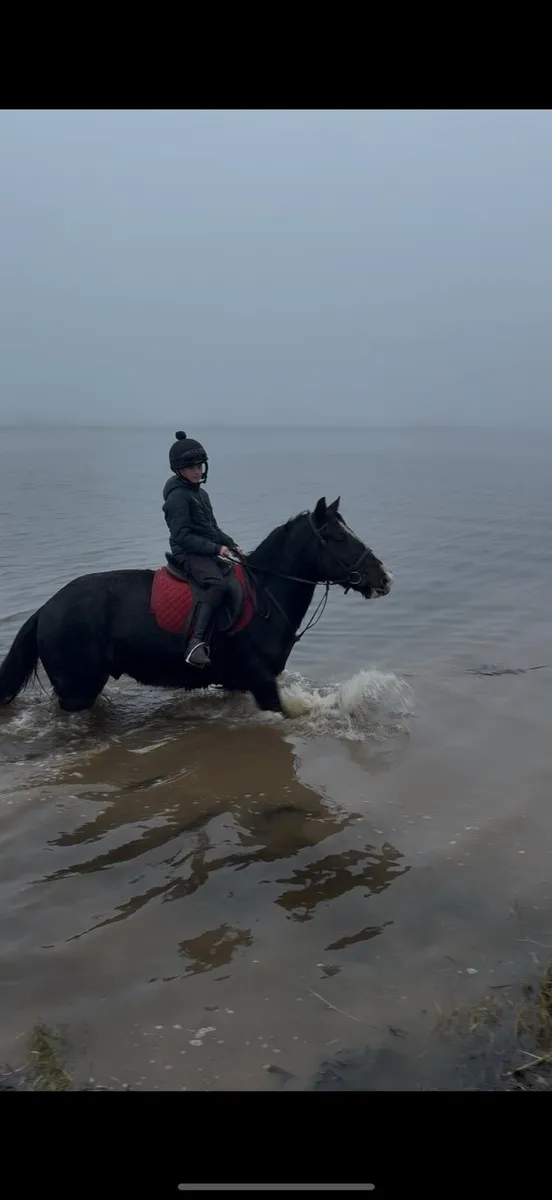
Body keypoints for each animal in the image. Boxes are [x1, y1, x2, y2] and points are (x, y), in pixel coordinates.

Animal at [0, 496, 393, 718]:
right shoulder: (262, 680)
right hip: (76, 692)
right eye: (338, 537)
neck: (265, 594)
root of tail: (46, 608)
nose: (384, 577)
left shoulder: (239, 684)